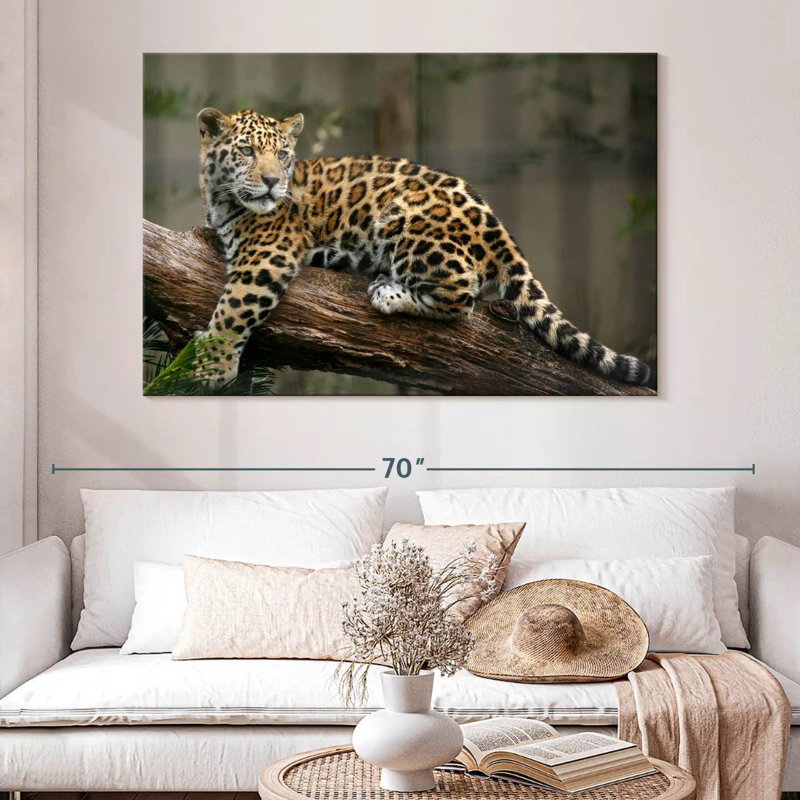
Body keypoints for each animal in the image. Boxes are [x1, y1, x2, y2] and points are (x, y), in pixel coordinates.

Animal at [193, 106, 652, 390]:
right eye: (247, 151)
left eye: (283, 154)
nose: (273, 182)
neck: (220, 197)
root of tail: (499, 227)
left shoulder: (267, 255)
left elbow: (234, 308)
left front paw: (210, 366)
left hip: (407, 222)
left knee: (462, 297)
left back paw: (389, 292)